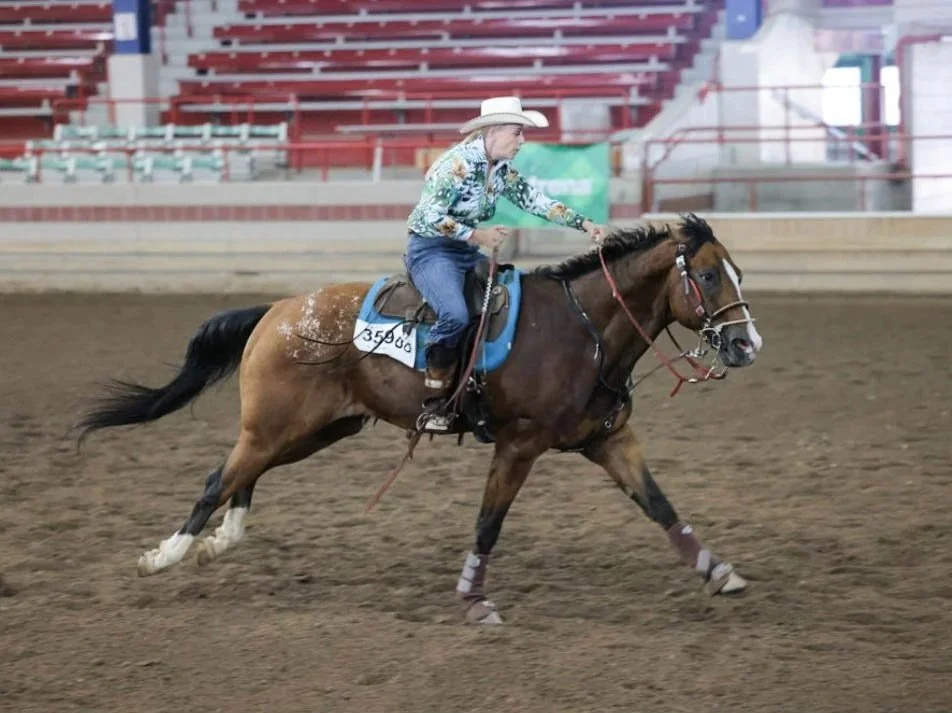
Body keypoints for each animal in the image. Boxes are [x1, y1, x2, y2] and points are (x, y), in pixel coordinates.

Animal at [76, 213, 763, 625]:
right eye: (707, 275)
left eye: (737, 271)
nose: (747, 344)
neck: (582, 331)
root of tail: (277, 309)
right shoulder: (518, 446)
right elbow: (488, 525)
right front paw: (475, 601)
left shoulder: (609, 440)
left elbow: (661, 505)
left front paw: (720, 571)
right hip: (277, 427)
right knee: (217, 479)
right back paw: (164, 557)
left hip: (313, 430)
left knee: (240, 474)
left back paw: (220, 541)